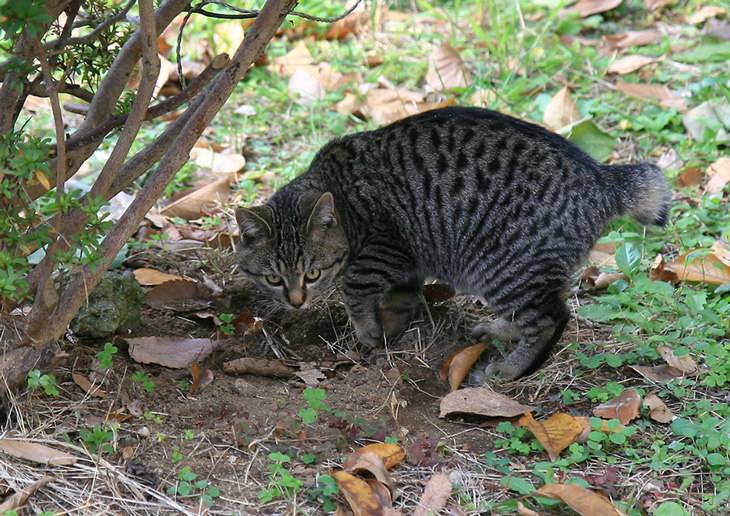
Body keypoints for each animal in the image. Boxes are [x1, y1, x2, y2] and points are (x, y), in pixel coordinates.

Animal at [236, 107, 668, 378]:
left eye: (312, 273)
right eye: (273, 279)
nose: (296, 301)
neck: (338, 194)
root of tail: (601, 178)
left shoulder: (386, 249)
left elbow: (355, 286)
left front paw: (366, 331)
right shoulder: (406, 265)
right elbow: (400, 299)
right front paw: (387, 331)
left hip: (504, 264)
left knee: (551, 317)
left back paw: (513, 367)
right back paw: (500, 331)